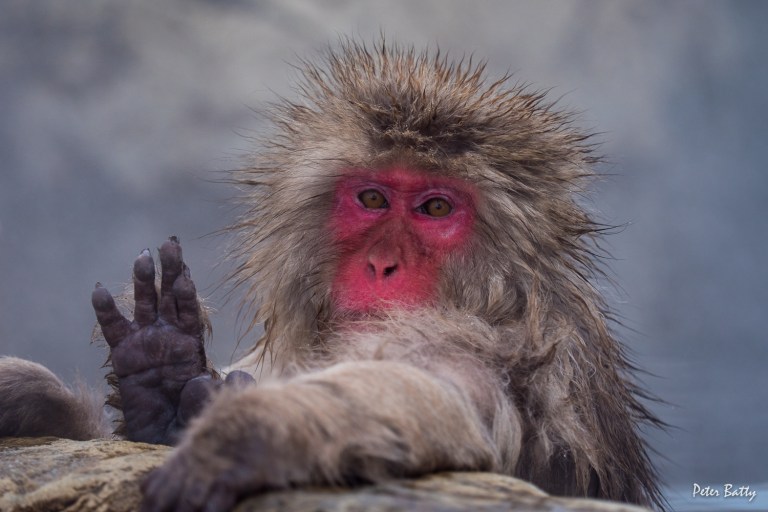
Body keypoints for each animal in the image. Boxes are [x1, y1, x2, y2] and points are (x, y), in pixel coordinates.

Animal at [0, 40, 665, 511]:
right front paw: (155, 378)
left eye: (436, 208)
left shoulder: (501, 344)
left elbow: (434, 396)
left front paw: (247, 437)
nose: (382, 264)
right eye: (372, 199)